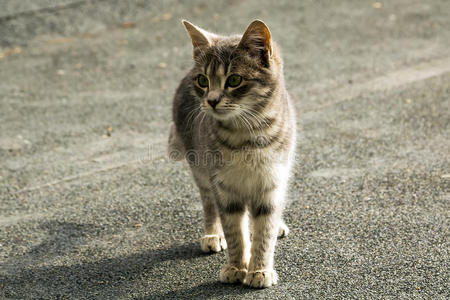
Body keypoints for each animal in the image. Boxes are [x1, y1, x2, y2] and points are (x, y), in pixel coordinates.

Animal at [167, 19, 298, 288]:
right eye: (203, 80)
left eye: (235, 79)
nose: (212, 100)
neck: (245, 138)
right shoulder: (224, 188)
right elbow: (235, 231)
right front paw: (237, 266)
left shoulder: (271, 184)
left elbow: (264, 232)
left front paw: (259, 269)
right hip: (201, 172)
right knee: (209, 205)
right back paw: (212, 234)